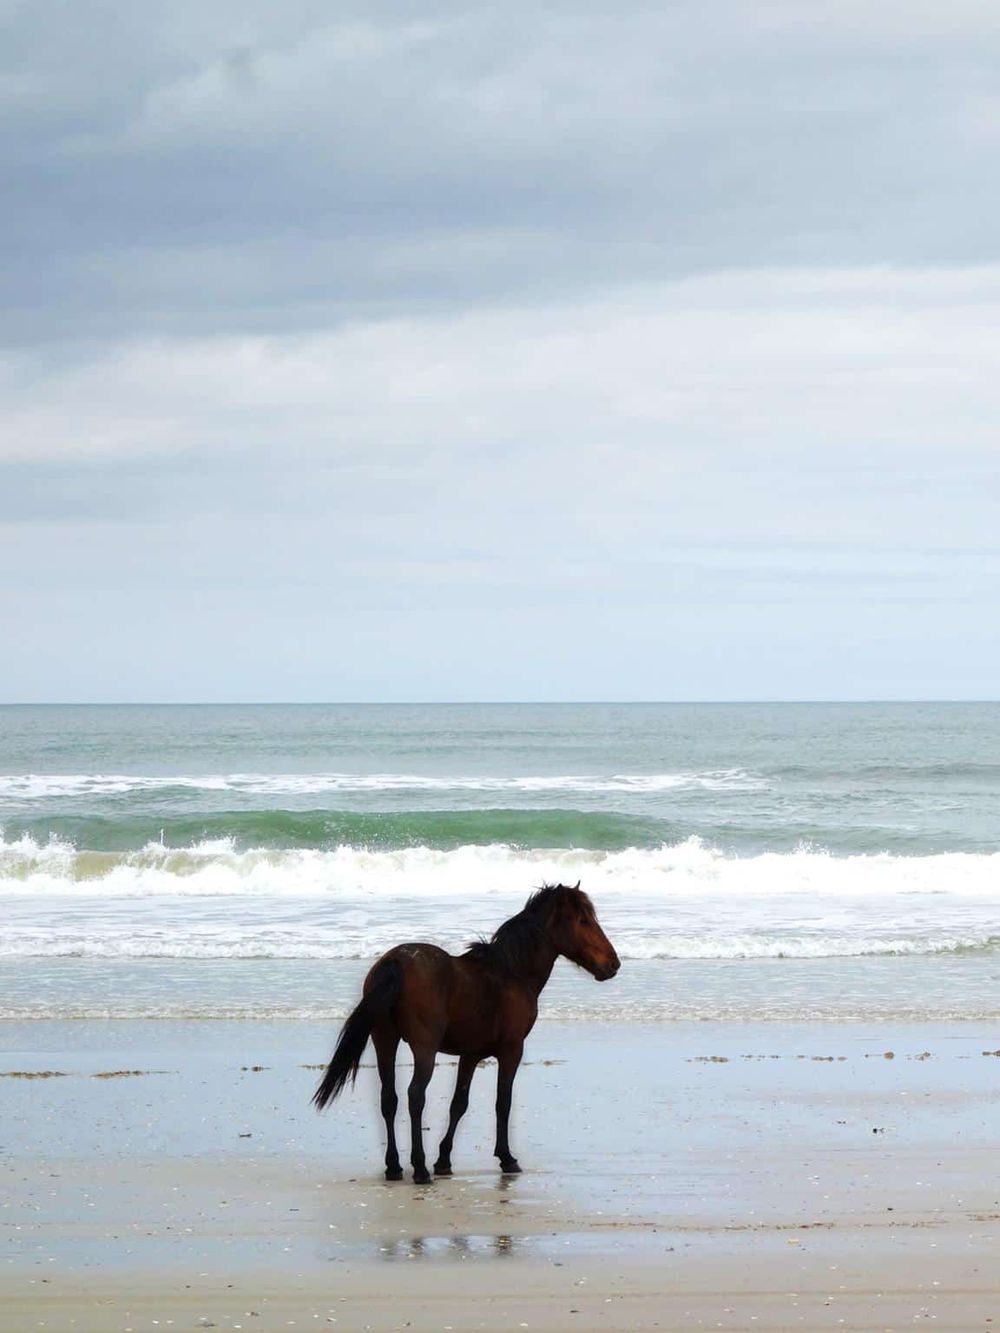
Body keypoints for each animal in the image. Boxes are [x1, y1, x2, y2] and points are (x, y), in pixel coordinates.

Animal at [312, 882, 620, 1183]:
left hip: (384, 1040)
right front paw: (507, 1158)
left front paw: (444, 1161)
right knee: (415, 1096)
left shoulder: (470, 1055)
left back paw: (394, 1167)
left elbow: (458, 1104)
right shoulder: (511, 1051)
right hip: (424, 1048)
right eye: (583, 920)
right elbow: (503, 1103)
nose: (613, 964)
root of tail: (396, 961)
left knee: (389, 1098)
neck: (511, 973)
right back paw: (420, 1169)